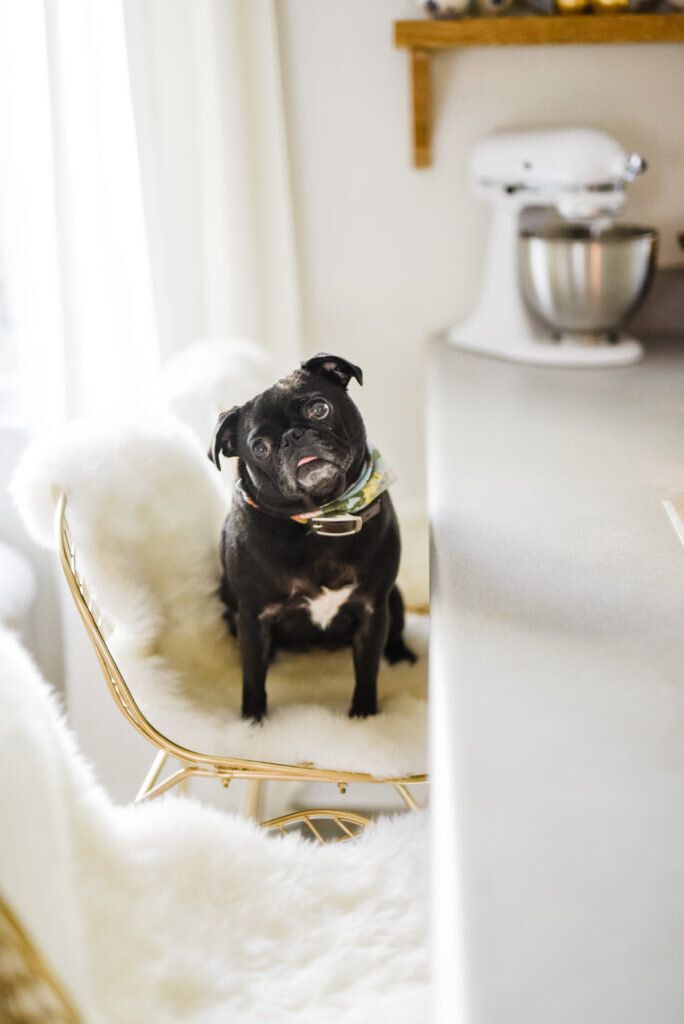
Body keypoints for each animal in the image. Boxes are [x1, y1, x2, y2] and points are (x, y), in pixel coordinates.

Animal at [208, 352, 413, 720]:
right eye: (258, 448)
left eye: (319, 409)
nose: (293, 436)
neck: (320, 518)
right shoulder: (252, 618)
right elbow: (253, 677)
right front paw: (253, 722)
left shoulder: (373, 610)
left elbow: (367, 672)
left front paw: (363, 716)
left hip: (394, 599)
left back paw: (402, 657)